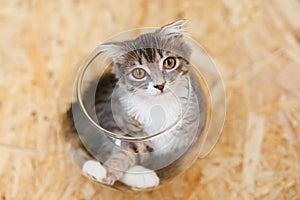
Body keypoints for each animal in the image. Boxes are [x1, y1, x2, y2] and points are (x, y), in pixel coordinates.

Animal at [64, 19, 205, 189]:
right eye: (139, 73)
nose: (160, 85)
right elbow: (124, 154)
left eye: (169, 62)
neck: (159, 106)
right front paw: (109, 172)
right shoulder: (122, 126)